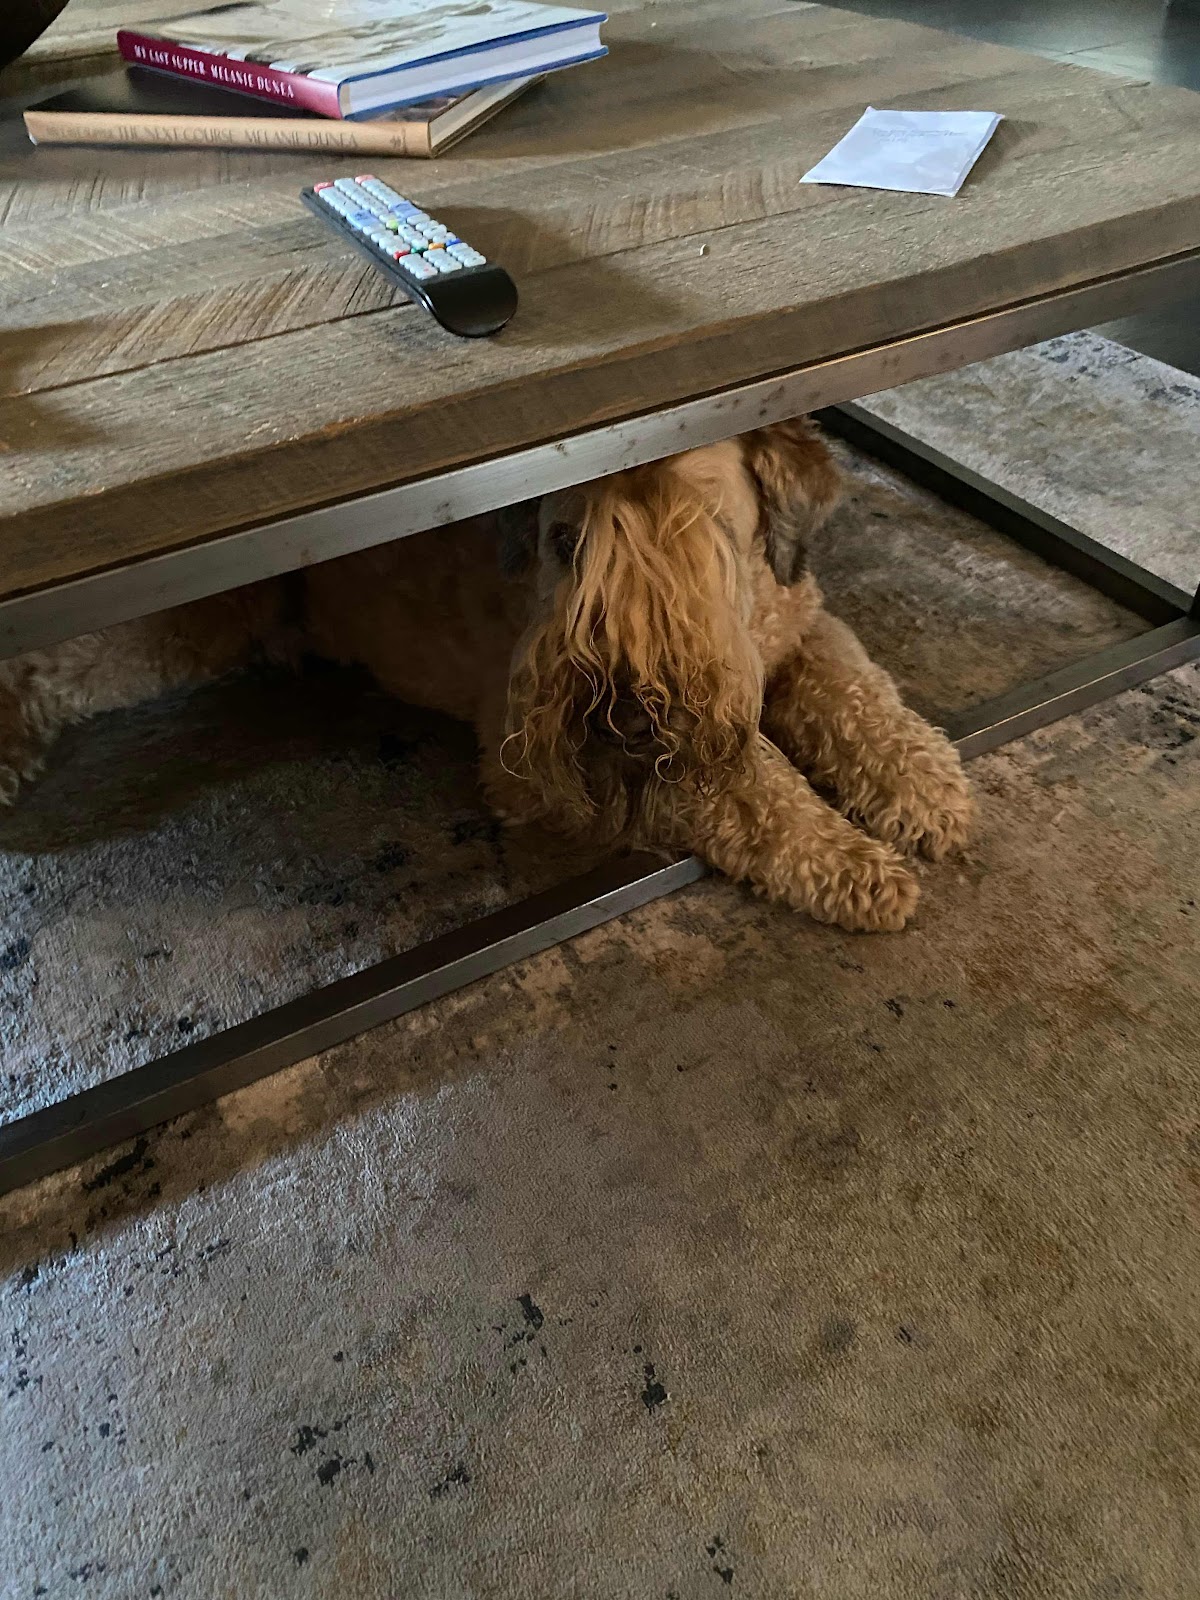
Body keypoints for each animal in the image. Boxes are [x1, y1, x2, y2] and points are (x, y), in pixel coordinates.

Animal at [0, 420, 970, 932]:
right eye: (565, 540)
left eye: (711, 533)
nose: (625, 713)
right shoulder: (555, 768)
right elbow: (754, 788)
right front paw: (855, 865)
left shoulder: (800, 629)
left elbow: (861, 698)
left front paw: (927, 791)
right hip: (188, 625)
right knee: (46, 667)